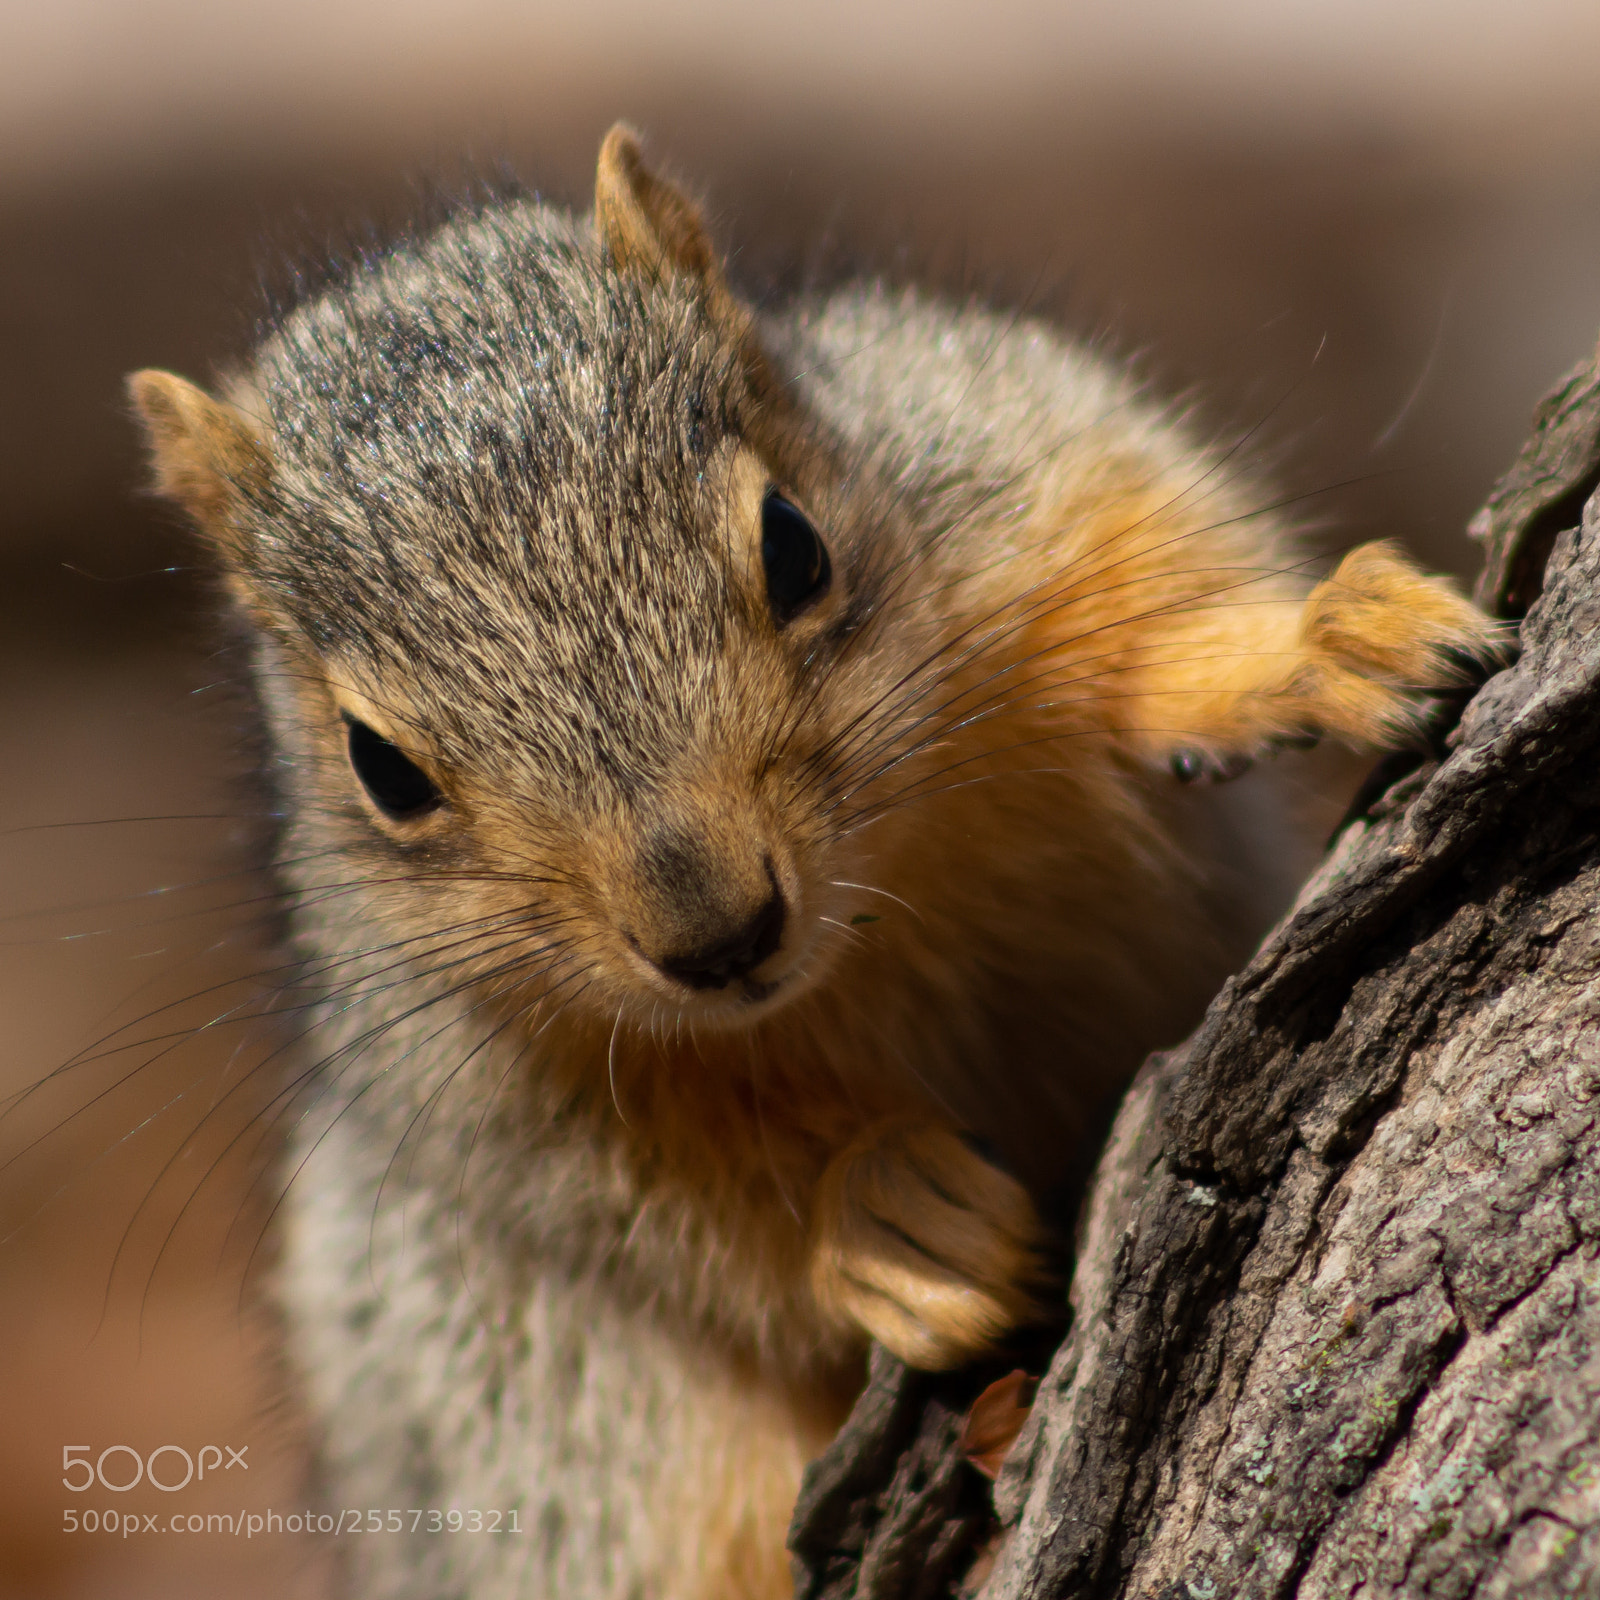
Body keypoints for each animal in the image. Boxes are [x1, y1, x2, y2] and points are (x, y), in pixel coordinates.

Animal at [128, 125, 1499, 1600]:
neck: (874, 915)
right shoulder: (465, 1060)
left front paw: (1302, 647)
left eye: (793, 544)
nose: (718, 933)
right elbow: (650, 1203)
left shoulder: (1013, 452)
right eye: (379, 768)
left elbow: (1150, 559)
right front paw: (884, 1213)